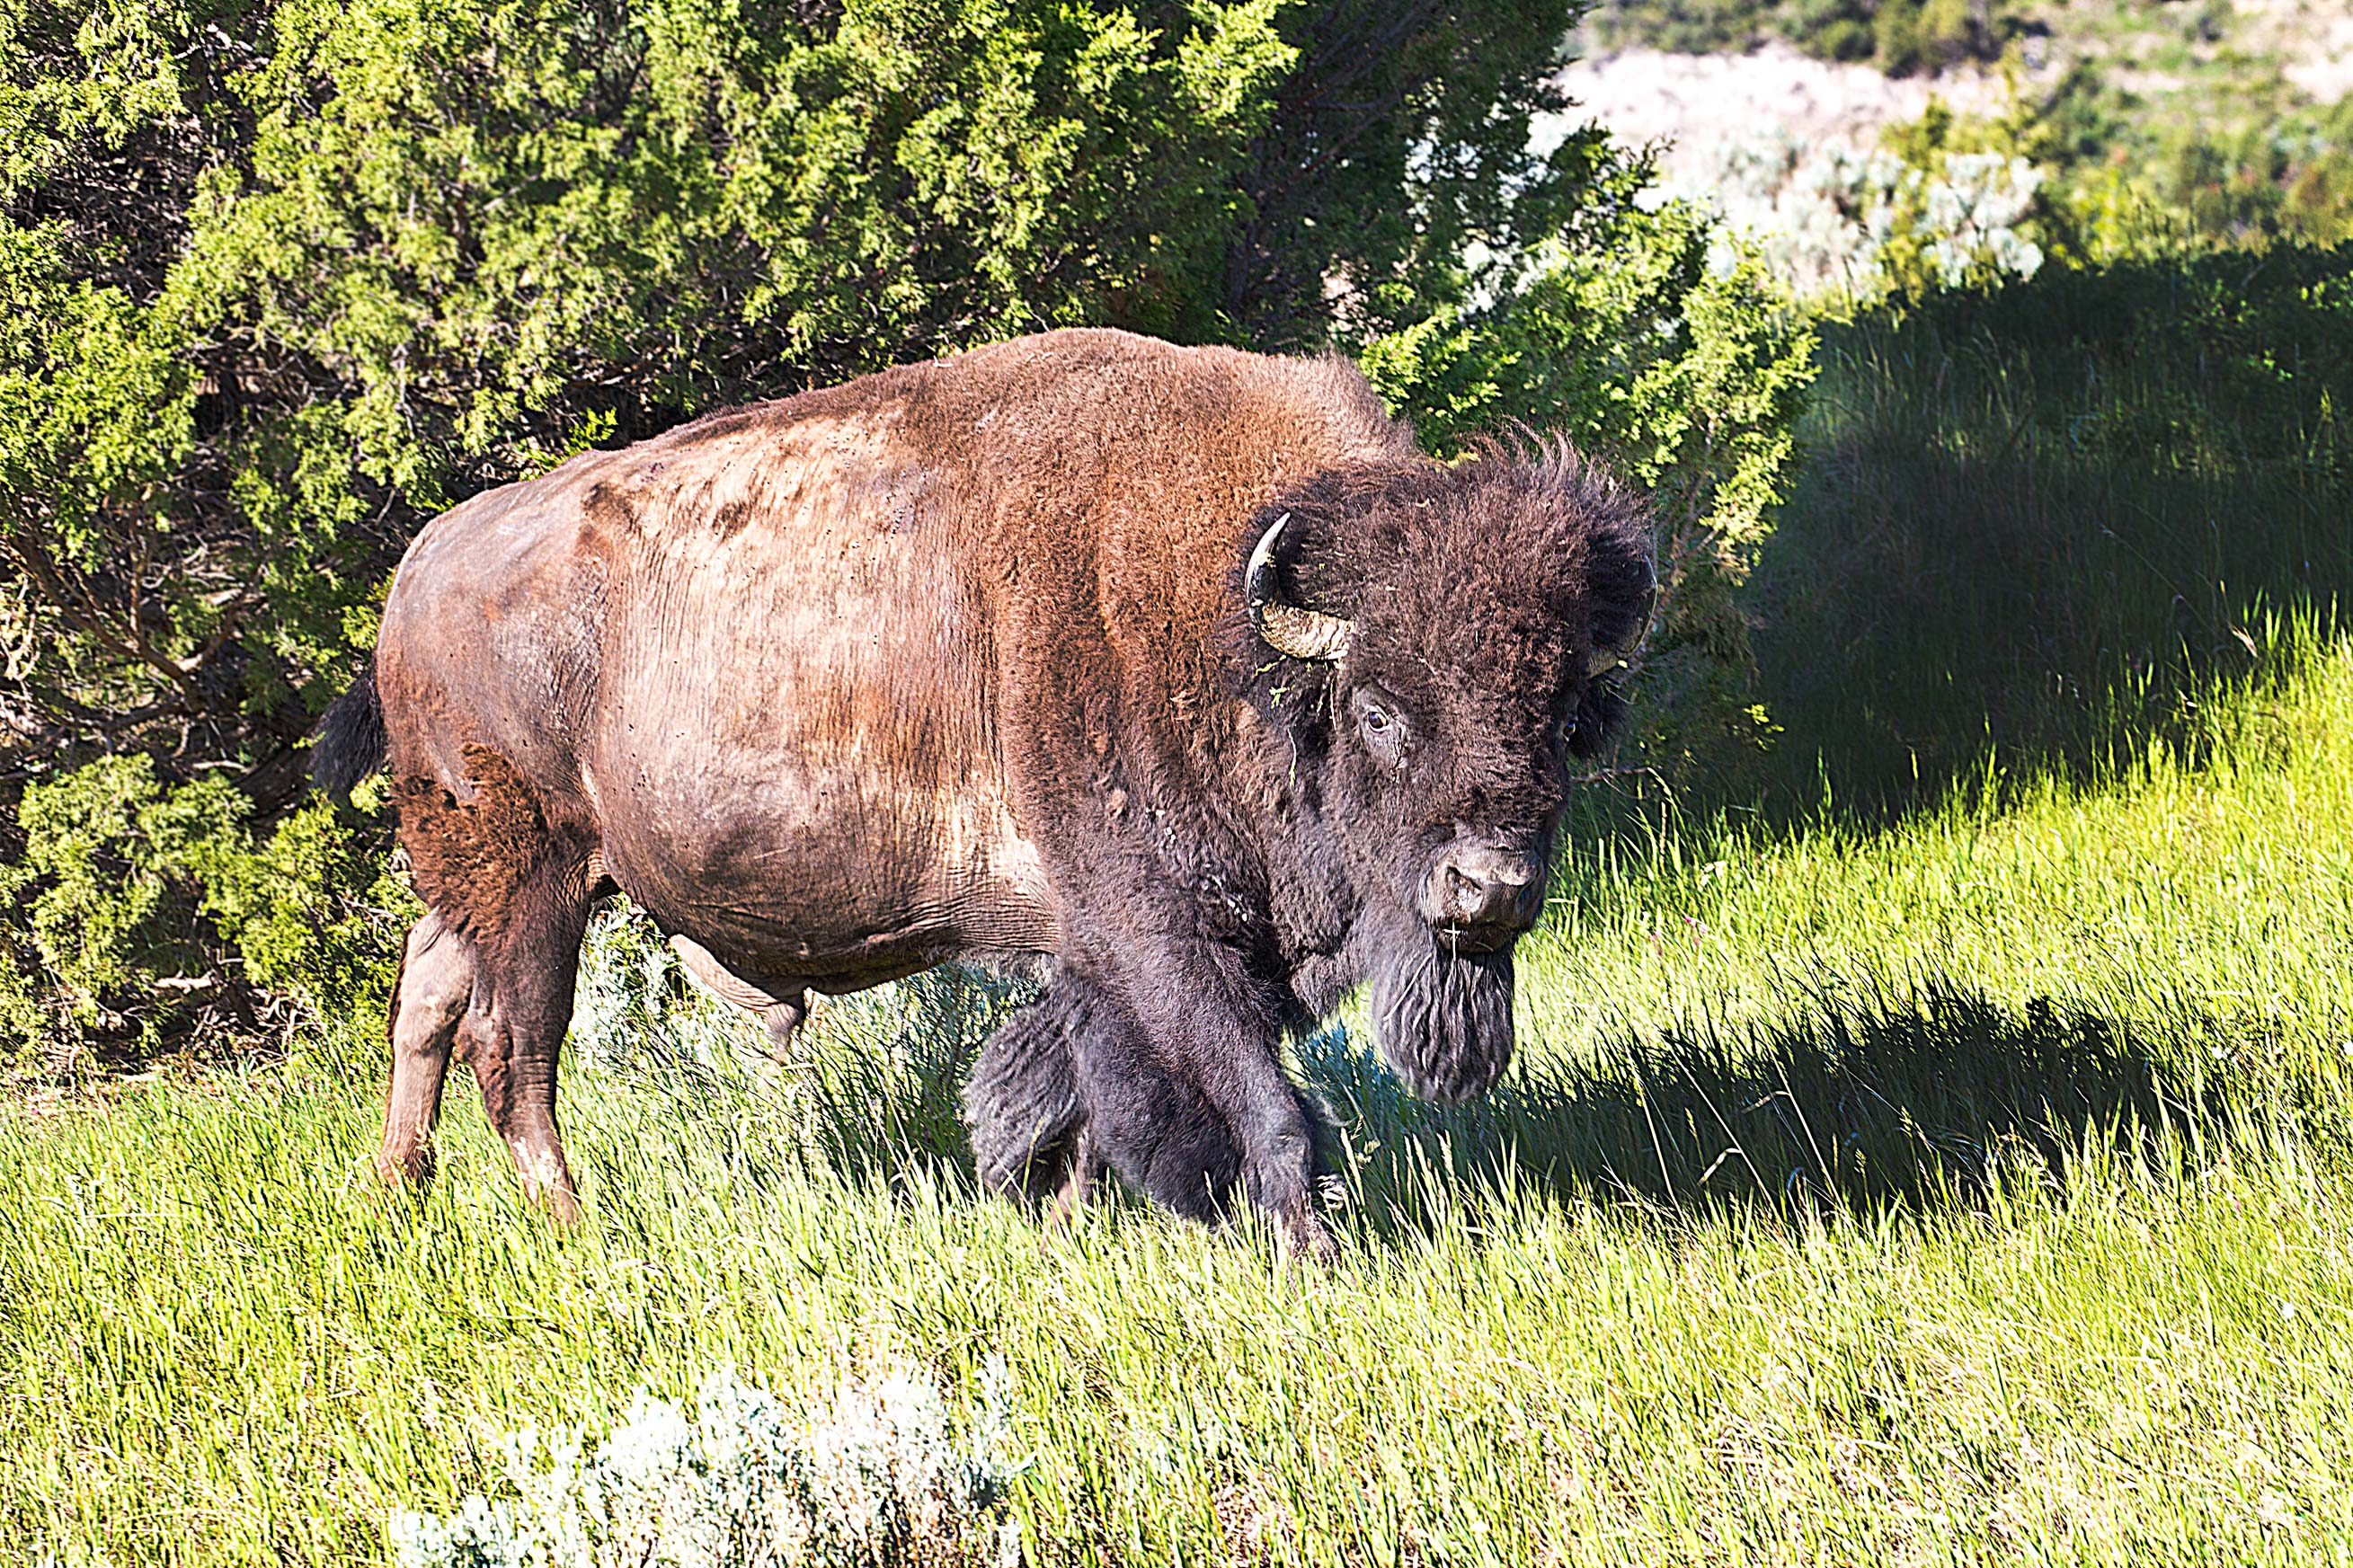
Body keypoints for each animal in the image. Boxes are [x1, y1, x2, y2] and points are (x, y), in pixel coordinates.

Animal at [315, 328, 1653, 1258]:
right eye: (1376, 708)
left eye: (1560, 719)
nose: (1486, 888)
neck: (1226, 621)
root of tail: (419, 566)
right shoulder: (1163, 941)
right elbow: (1264, 1108)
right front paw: (1313, 1258)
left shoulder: (1148, 959)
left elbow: (1083, 1111)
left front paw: (1064, 1233)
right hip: (532, 874)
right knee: (510, 1047)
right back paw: (573, 1227)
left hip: (482, 878)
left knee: (428, 996)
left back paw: (398, 1192)